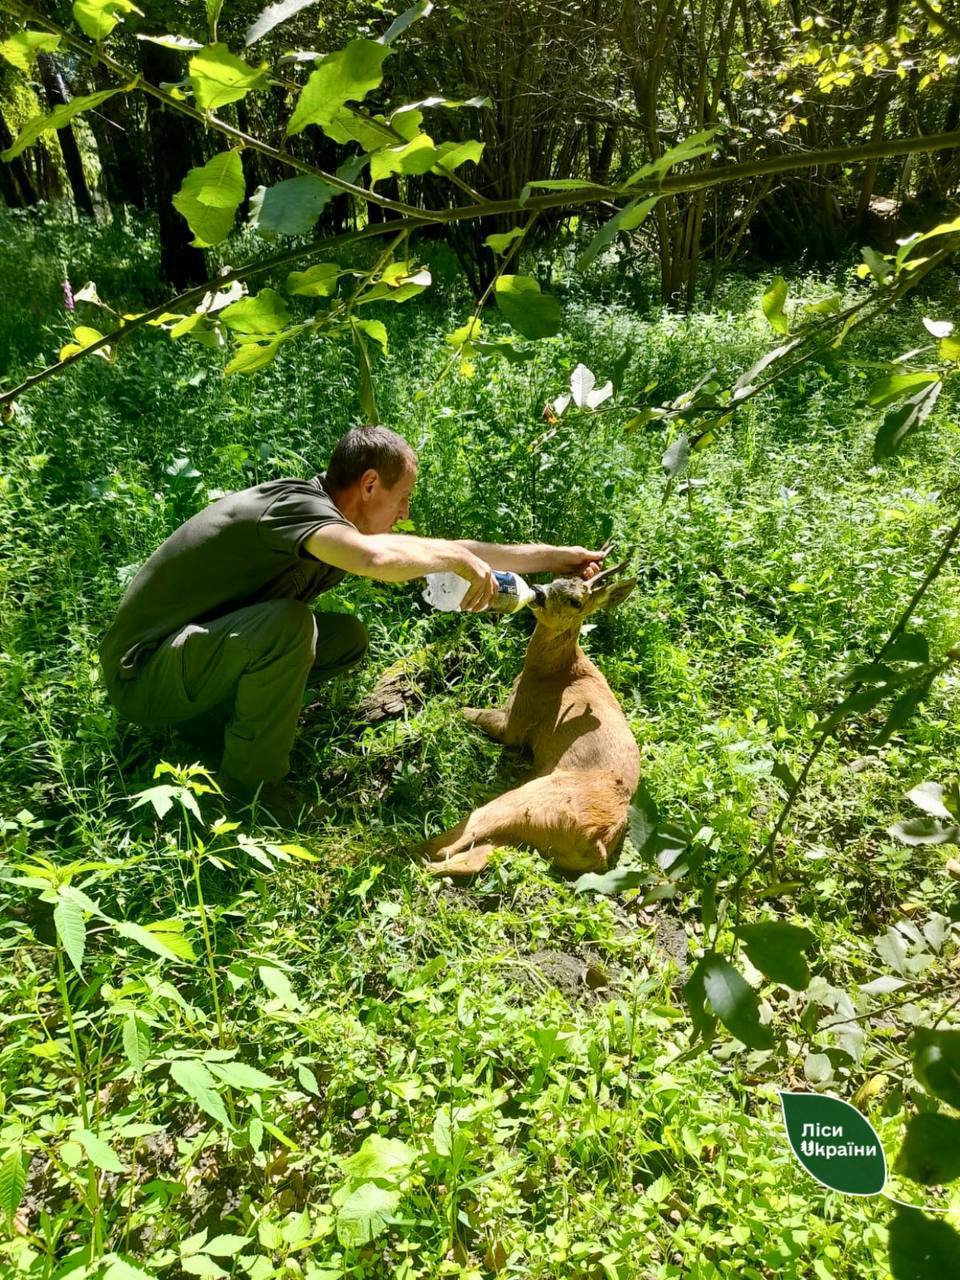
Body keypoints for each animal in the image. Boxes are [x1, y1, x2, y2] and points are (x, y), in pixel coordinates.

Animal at [424, 565, 642, 875]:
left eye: (576, 601)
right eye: (556, 579)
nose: (538, 591)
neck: (558, 672)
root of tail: (598, 844)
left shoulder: (516, 723)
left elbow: (469, 712)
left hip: (532, 799)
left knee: (448, 844)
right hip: (526, 835)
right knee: (471, 858)